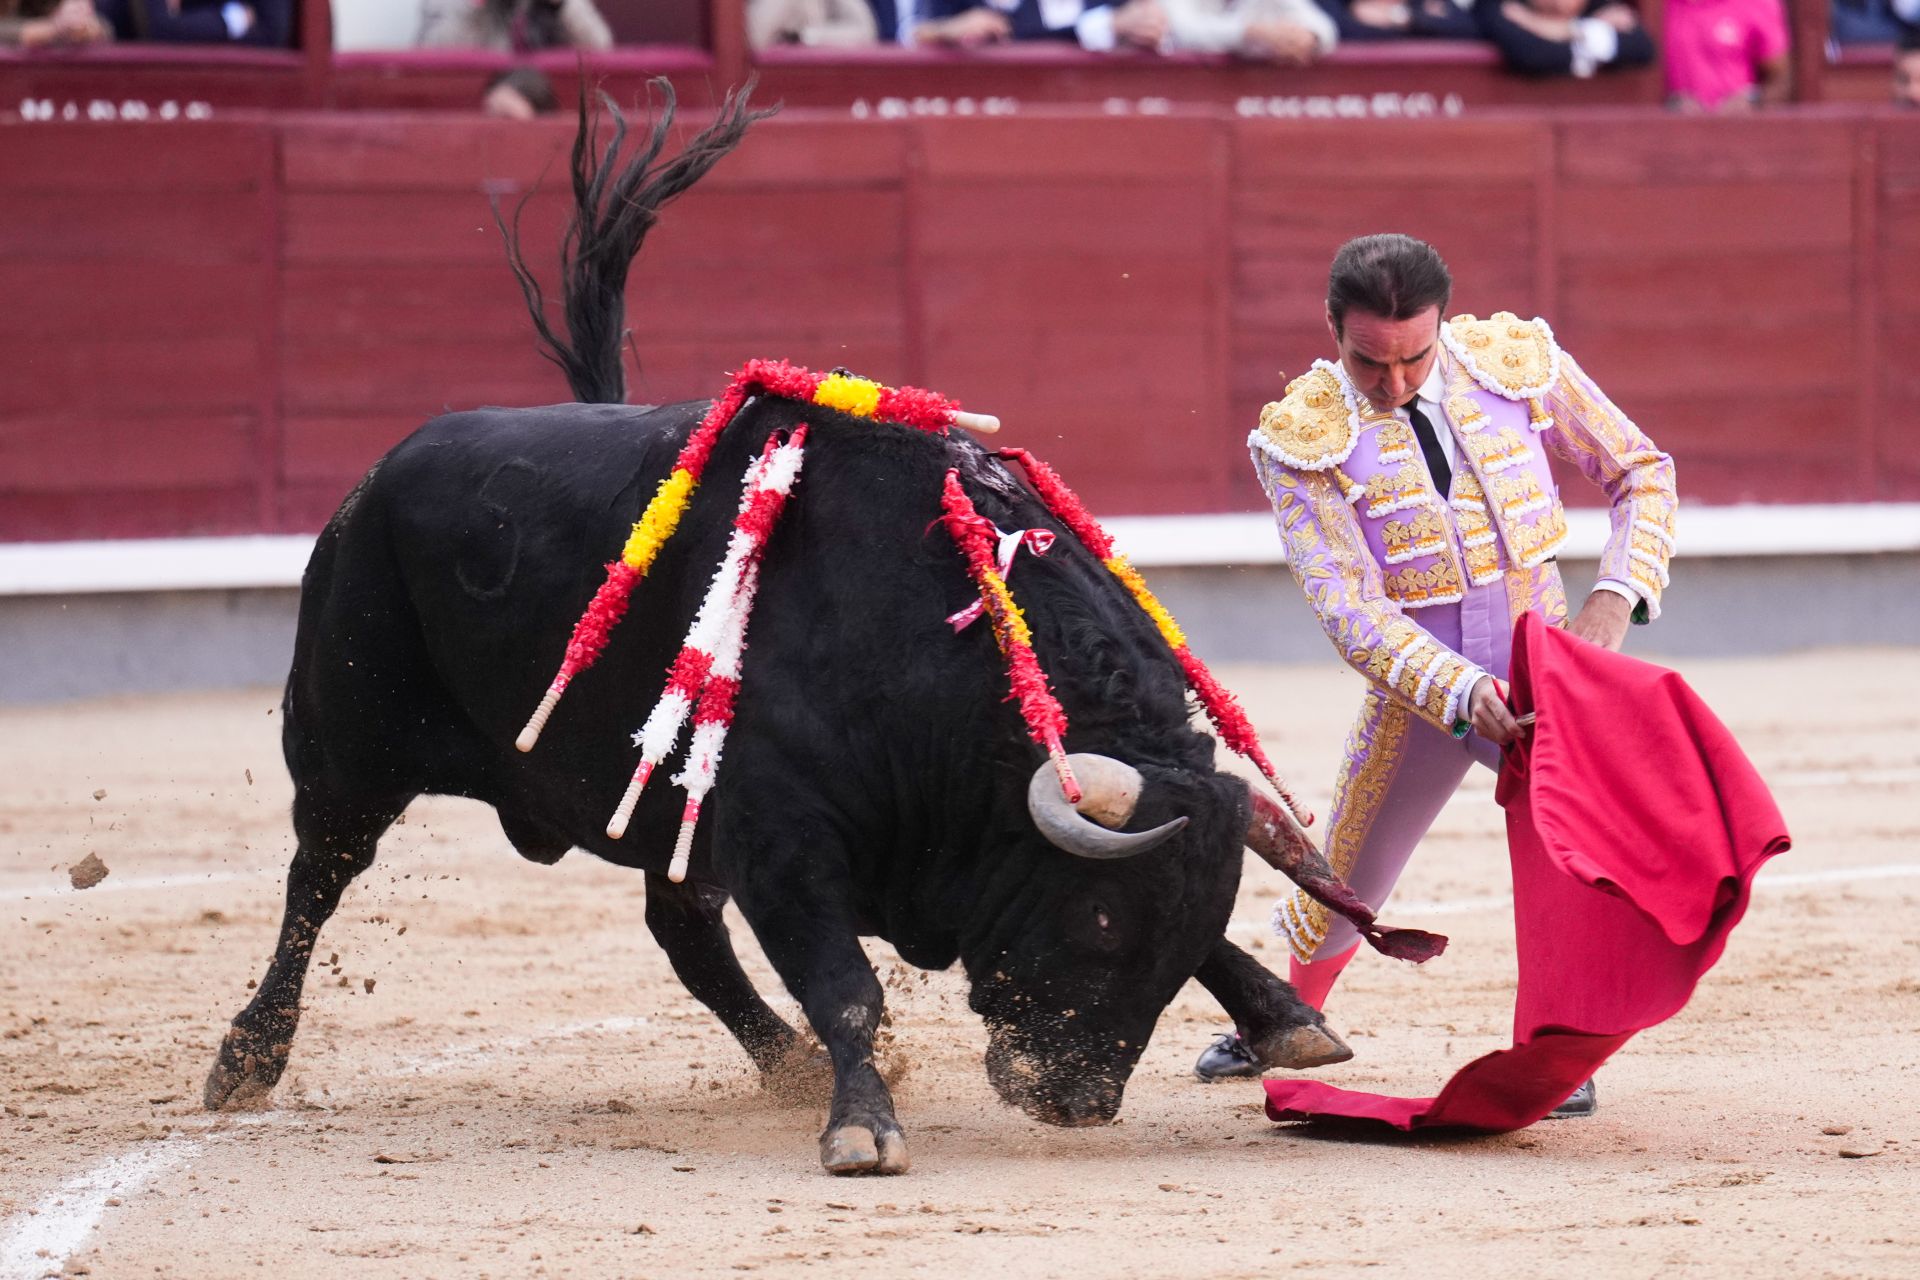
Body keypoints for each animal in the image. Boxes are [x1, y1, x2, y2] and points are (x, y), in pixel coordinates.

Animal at [202, 87, 1351, 1182]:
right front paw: (863, 1130)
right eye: (1102, 920)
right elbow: (845, 986)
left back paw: (785, 1062)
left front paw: (1291, 1023)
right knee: (315, 881)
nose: (1079, 1101)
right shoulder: (782, 837)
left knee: (682, 932)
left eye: (1171, 931)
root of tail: (376, 478)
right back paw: (246, 1060)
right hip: (348, 744)